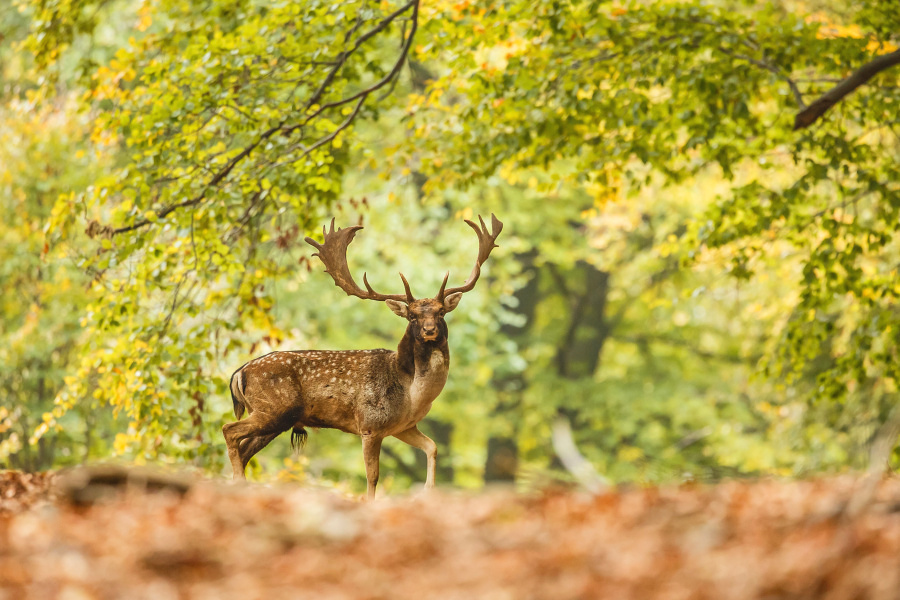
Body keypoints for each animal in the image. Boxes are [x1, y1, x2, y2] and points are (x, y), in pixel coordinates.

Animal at [221, 213, 502, 500]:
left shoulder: (404, 426)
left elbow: (432, 447)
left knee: (244, 449)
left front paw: (428, 491)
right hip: (273, 409)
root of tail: (239, 372)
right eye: (412, 316)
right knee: (229, 430)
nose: (429, 330)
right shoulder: (370, 424)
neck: (412, 394)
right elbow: (373, 476)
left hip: (275, 418)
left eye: (441, 312)